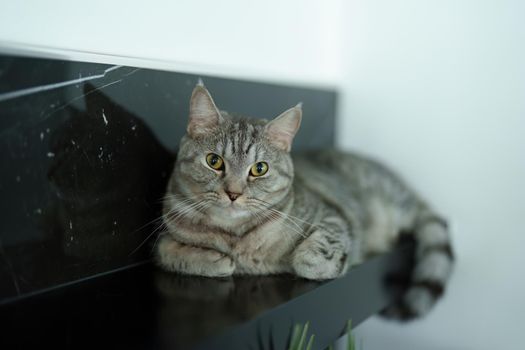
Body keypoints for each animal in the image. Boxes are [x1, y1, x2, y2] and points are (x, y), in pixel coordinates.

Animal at [155, 83, 450, 318]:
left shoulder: (332, 217)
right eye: (214, 161)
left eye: (259, 169)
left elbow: (310, 258)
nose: (233, 193)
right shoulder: (164, 235)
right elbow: (168, 251)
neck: (236, 238)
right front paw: (214, 260)